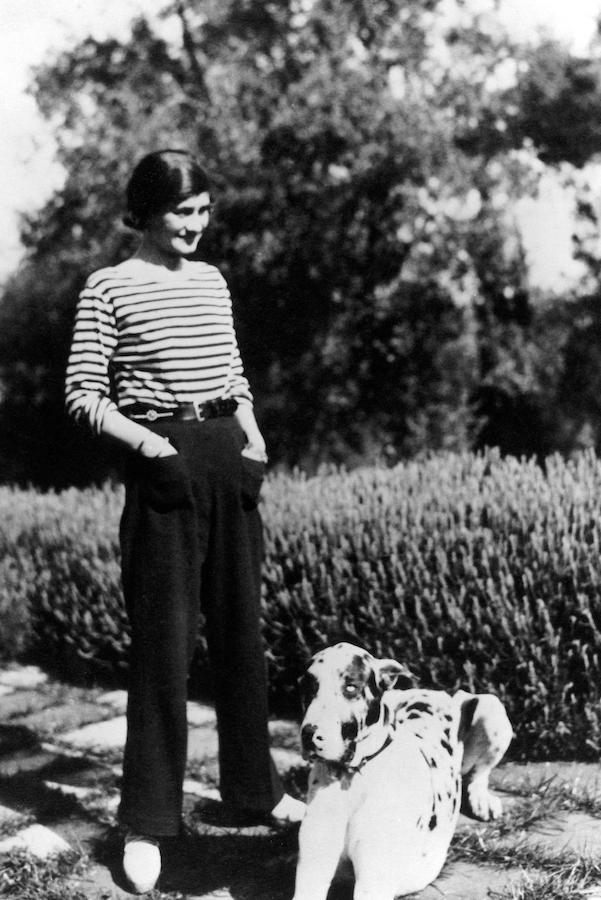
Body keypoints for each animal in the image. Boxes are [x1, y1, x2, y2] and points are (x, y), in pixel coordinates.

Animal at [290, 640, 510, 900]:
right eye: (307, 688)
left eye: (351, 687)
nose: (309, 735)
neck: (353, 777)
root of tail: (441, 693)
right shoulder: (313, 868)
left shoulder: (373, 882)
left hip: (491, 707)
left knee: (478, 775)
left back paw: (482, 800)